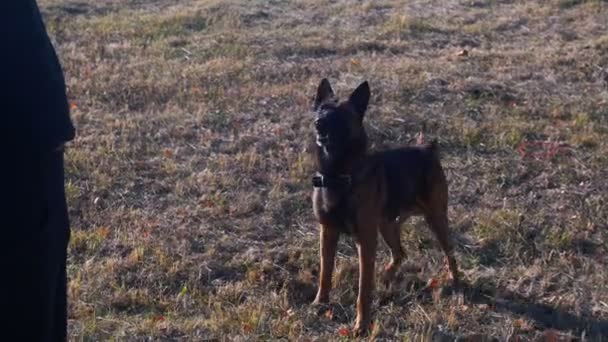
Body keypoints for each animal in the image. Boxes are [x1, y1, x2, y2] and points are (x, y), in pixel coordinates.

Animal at [308, 79, 460, 336]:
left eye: (341, 114)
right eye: (321, 109)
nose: (318, 123)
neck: (338, 174)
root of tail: (427, 148)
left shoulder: (366, 242)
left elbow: (363, 290)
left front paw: (361, 326)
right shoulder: (327, 233)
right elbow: (325, 273)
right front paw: (320, 303)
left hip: (436, 219)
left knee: (449, 252)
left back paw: (456, 282)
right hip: (387, 225)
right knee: (400, 253)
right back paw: (387, 275)